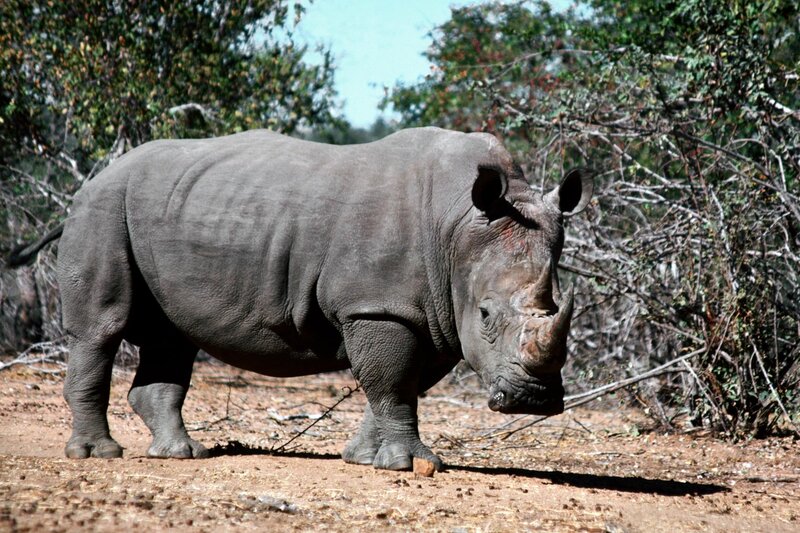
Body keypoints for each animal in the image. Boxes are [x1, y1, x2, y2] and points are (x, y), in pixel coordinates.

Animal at [7, 128, 592, 471]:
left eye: (558, 308)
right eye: (487, 315)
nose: (533, 402)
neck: (458, 227)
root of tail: (91, 181)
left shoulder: (433, 312)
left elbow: (401, 384)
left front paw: (362, 458)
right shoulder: (377, 305)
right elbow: (393, 381)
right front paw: (407, 465)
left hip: (164, 210)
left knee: (171, 337)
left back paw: (180, 455)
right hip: (103, 209)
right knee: (101, 330)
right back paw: (97, 455)